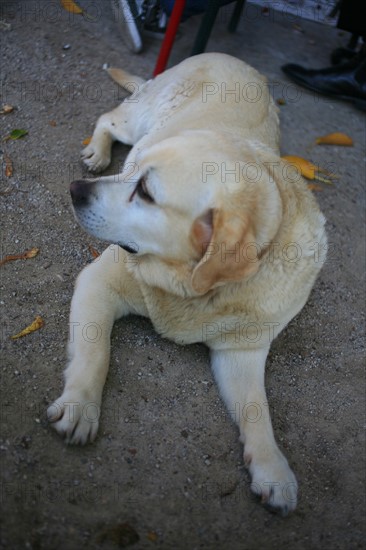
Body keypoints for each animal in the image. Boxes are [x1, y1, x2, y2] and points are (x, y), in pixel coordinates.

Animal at [48, 54, 326, 516]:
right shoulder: (99, 280)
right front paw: (79, 406)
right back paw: (97, 150)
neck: (195, 289)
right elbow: (95, 353)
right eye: (137, 175)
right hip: (138, 122)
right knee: (110, 119)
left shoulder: (242, 351)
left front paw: (273, 470)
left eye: (145, 191)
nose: (74, 191)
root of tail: (230, 57)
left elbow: (259, 410)